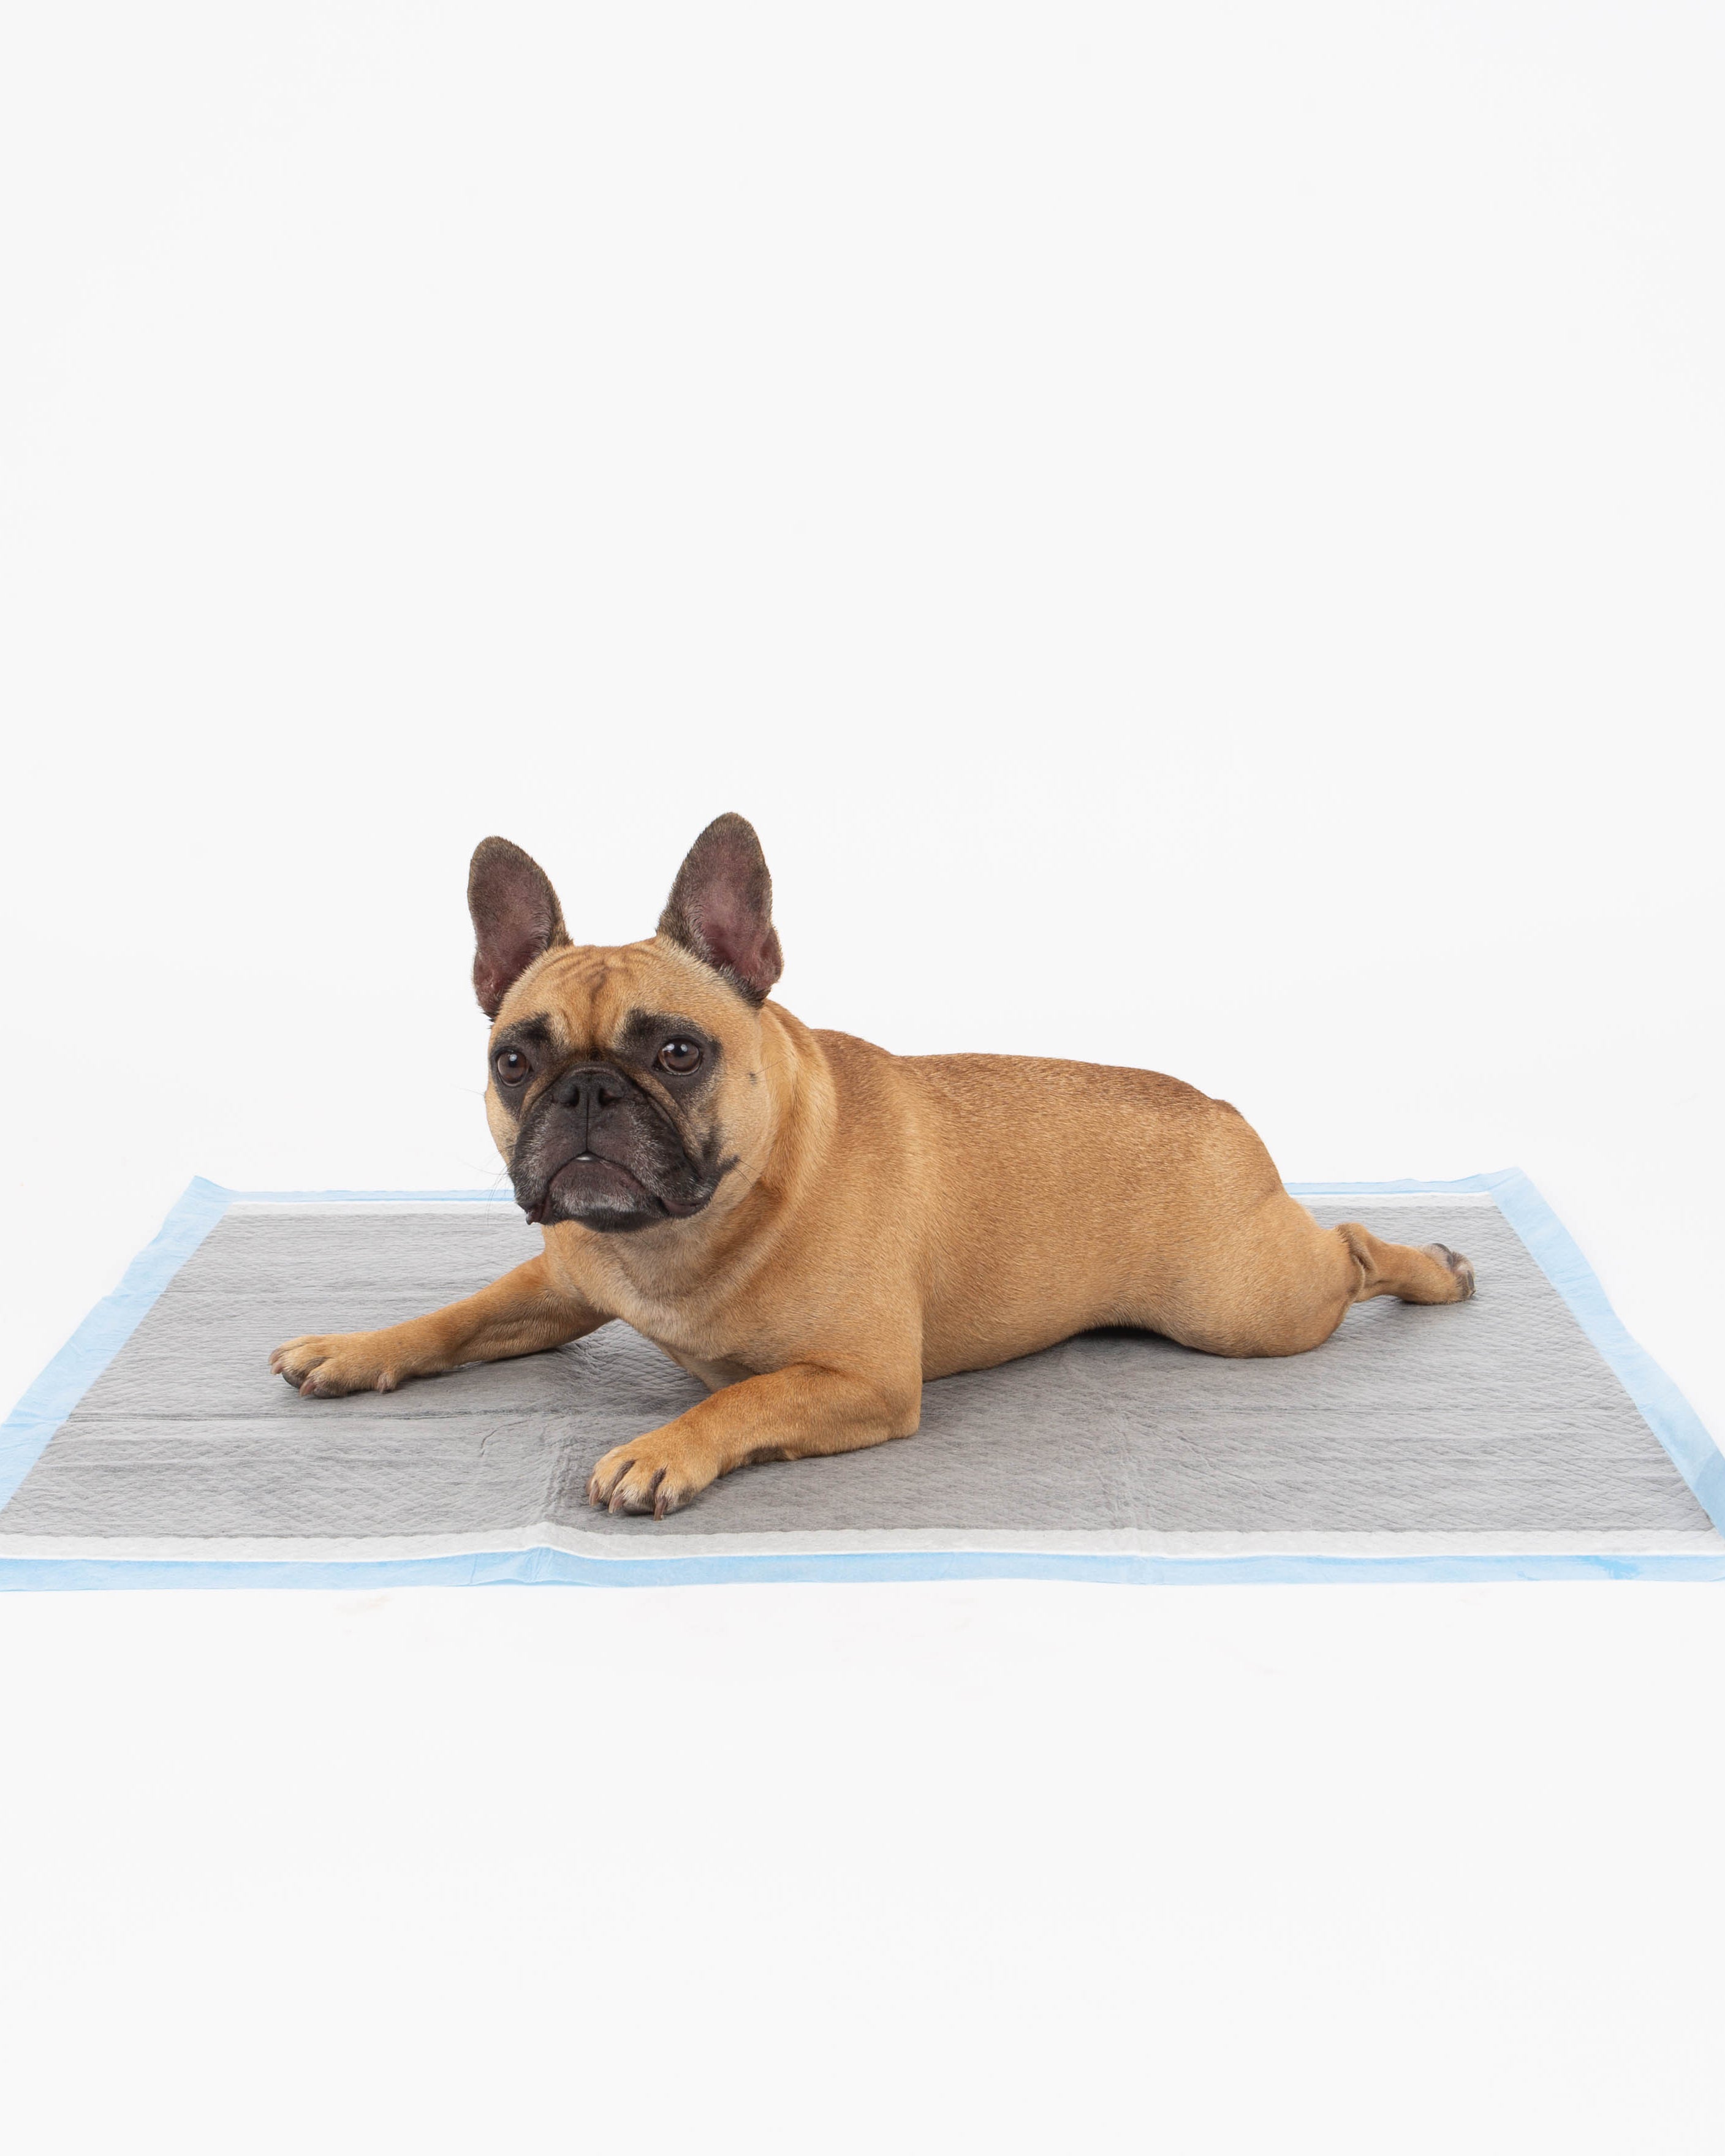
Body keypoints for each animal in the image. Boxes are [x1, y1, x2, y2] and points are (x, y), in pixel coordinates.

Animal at [271, 813, 1475, 1517]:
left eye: (677, 1052)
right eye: (515, 1060)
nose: (587, 1092)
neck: (679, 1237)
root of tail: (1222, 1110)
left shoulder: (861, 1379)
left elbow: (741, 1396)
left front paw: (663, 1447)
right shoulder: (560, 1277)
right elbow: (455, 1315)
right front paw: (354, 1346)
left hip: (1246, 1307)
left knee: (1350, 1247)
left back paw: (1437, 1266)